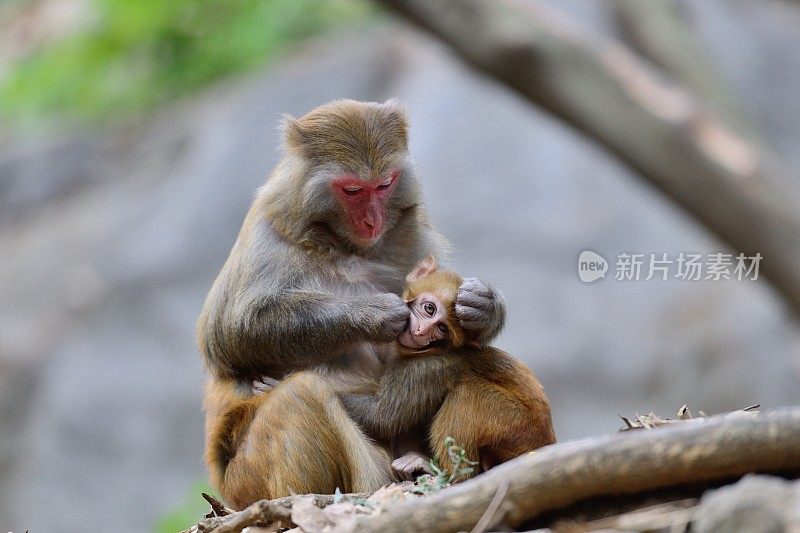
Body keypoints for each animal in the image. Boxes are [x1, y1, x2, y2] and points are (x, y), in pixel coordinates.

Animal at [196, 100, 504, 508]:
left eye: (385, 185)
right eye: (353, 190)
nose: (373, 221)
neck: (342, 245)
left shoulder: (412, 238)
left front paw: (483, 308)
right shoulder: (267, 234)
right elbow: (232, 335)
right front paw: (372, 314)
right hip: (249, 483)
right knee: (299, 394)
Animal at [340, 256, 556, 480]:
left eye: (442, 328)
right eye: (429, 308)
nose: (421, 331)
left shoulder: (424, 371)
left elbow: (381, 417)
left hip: (519, 428)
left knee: (466, 393)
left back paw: (449, 475)